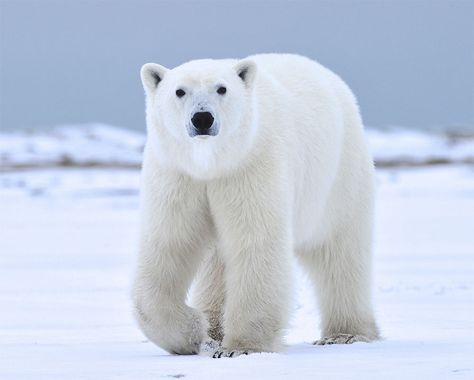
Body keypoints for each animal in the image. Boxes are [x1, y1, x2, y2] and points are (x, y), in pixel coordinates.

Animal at [131, 52, 380, 356]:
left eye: (222, 88)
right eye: (180, 91)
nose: (202, 118)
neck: (212, 164)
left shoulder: (251, 166)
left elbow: (256, 243)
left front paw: (240, 348)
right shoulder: (178, 176)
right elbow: (169, 244)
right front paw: (194, 331)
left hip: (339, 180)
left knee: (340, 253)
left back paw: (346, 333)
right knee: (217, 264)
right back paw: (214, 329)